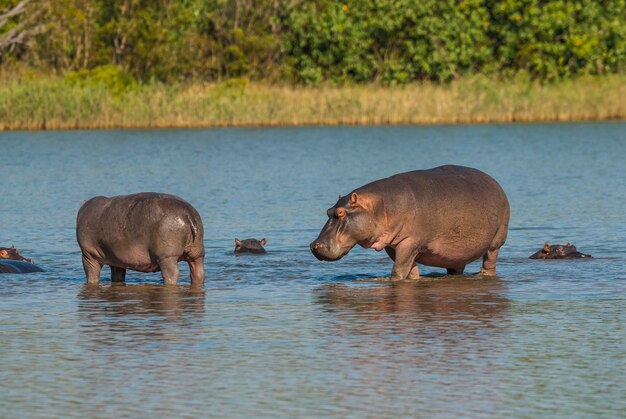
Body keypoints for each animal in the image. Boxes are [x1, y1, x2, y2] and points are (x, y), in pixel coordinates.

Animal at [74, 193, 204, 286]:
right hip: (197, 253)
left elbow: (92, 277)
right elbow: (117, 276)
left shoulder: (88, 256)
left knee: (172, 274)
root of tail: (187, 214)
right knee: (198, 272)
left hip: (167, 257)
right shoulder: (116, 259)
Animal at [310, 166, 510, 280]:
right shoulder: (393, 246)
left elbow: (397, 271)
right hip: (456, 254)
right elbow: (410, 271)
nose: (314, 245)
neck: (380, 206)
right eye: (328, 211)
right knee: (456, 267)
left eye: (340, 213)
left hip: (495, 243)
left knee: (490, 262)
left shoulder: (410, 242)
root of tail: (495, 183)